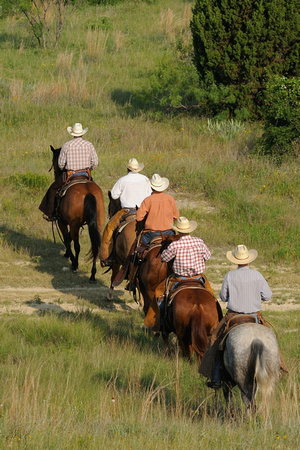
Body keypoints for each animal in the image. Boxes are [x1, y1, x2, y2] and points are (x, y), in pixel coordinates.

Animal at [49, 147, 105, 282]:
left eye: (54, 162)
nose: (55, 173)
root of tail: (88, 193)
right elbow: (68, 238)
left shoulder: (62, 222)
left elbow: (67, 239)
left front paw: (70, 257)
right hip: (98, 223)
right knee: (95, 246)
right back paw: (92, 275)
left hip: (73, 224)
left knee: (77, 245)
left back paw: (75, 265)